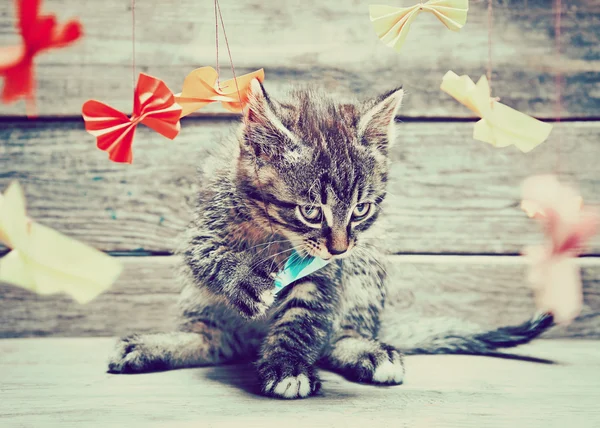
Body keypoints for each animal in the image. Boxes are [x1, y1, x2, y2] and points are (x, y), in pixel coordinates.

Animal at [108, 79, 552, 398]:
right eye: (310, 211)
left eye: (361, 209)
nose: (339, 246)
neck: (274, 231)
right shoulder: (201, 229)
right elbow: (209, 257)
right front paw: (245, 279)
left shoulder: (325, 271)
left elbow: (304, 316)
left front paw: (286, 366)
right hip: (198, 299)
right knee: (218, 339)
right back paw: (153, 346)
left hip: (369, 263)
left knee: (335, 334)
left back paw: (366, 350)